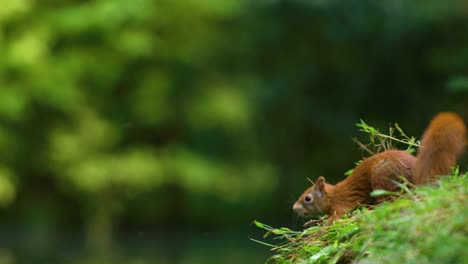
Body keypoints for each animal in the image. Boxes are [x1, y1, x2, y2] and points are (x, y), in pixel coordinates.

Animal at [294, 113, 466, 221]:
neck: (331, 196)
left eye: (307, 198)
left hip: (381, 179)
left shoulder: (340, 206)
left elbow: (334, 220)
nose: (294, 208)